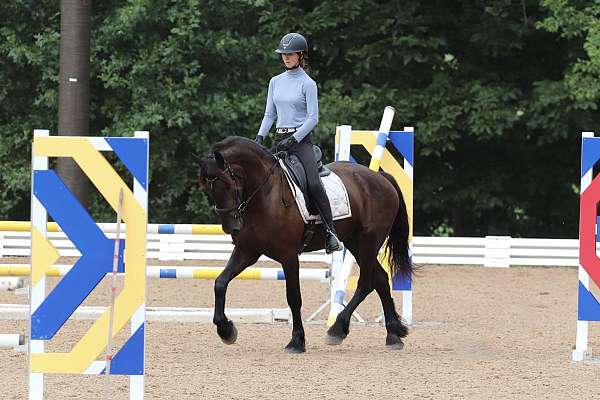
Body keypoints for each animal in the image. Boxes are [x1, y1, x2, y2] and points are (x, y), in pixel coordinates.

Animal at [197, 137, 412, 354]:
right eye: (208, 189)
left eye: (227, 184)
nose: (231, 227)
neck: (265, 195)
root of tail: (381, 177)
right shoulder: (247, 251)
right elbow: (220, 282)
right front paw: (225, 330)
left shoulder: (289, 256)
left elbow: (294, 297)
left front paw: (296, 341)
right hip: (355, 243)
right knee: (381, 279)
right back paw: (393, 334)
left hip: (369, 241)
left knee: (366, 283)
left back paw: (337, 329)